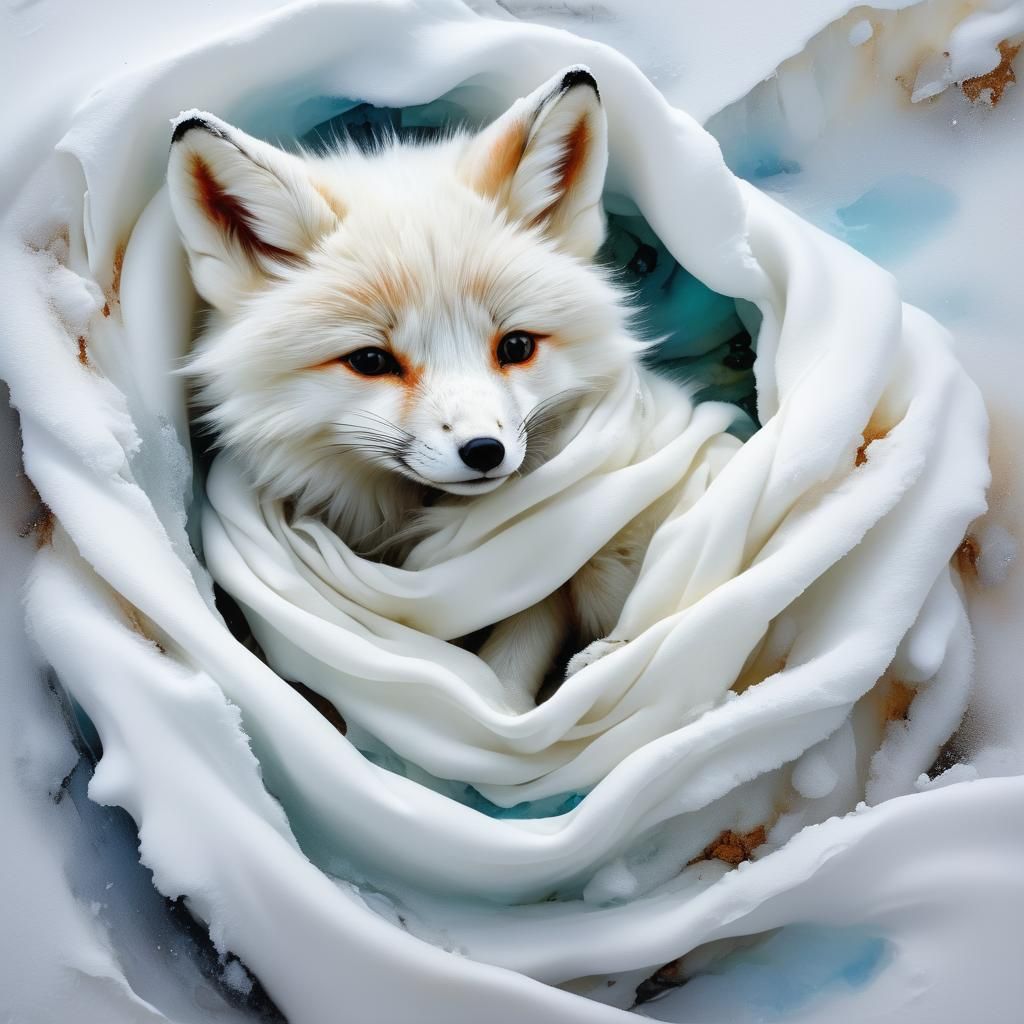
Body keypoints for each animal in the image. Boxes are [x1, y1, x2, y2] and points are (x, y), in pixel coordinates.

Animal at [168, 68, 686, 712]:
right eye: (371, 360)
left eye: (516, 346)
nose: (485, 451)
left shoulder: (550, 582)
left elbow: (513, 661)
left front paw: (506, 717)